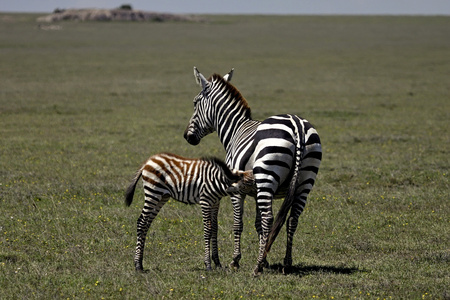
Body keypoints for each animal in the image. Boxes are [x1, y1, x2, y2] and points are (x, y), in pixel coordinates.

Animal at [184, 67, 324, 276]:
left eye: (195, 103)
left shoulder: (236, 188)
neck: (235, 130)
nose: (188, 137)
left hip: (268, 176)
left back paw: (257, 267)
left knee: (269, 218)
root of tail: (297, 125)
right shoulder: (256, 190)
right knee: (292, 219)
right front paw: (264, 257)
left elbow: (238, 224)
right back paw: (286, 263)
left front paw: (236, 261)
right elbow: (258, 225)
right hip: (305, 180)